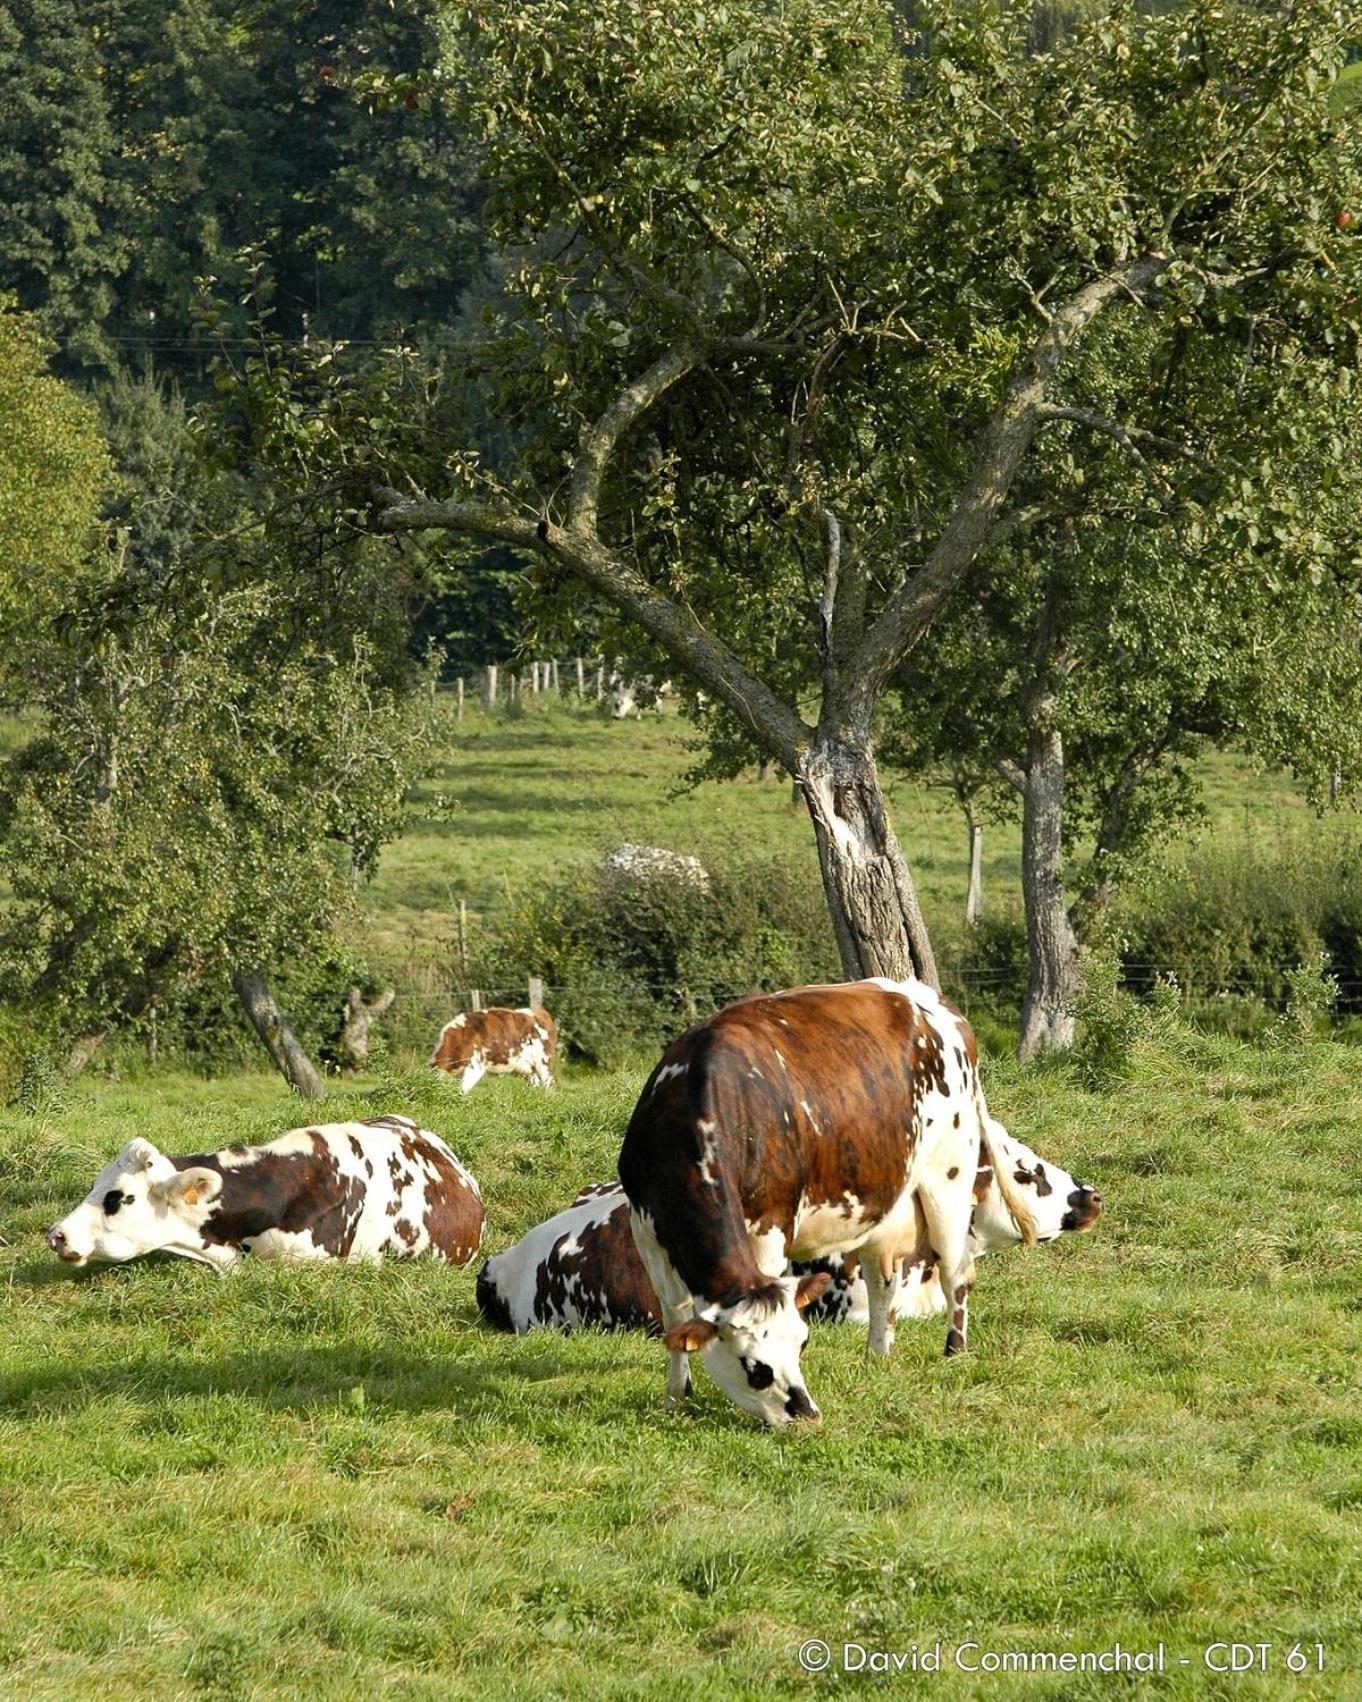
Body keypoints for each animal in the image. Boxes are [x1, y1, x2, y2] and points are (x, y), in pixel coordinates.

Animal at [616, 980, 1035, 1429]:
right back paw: (876, 1355)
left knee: (955, 1273)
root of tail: (930, 999)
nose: (808, 1415)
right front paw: (676, 1396)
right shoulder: (646, 1230)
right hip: (883, 1202)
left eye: (803, 1343)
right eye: (755, 1368)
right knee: (883, 1282)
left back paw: (955, 1351)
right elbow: (675, 1316)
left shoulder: (772, 1223)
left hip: (949, 1176)